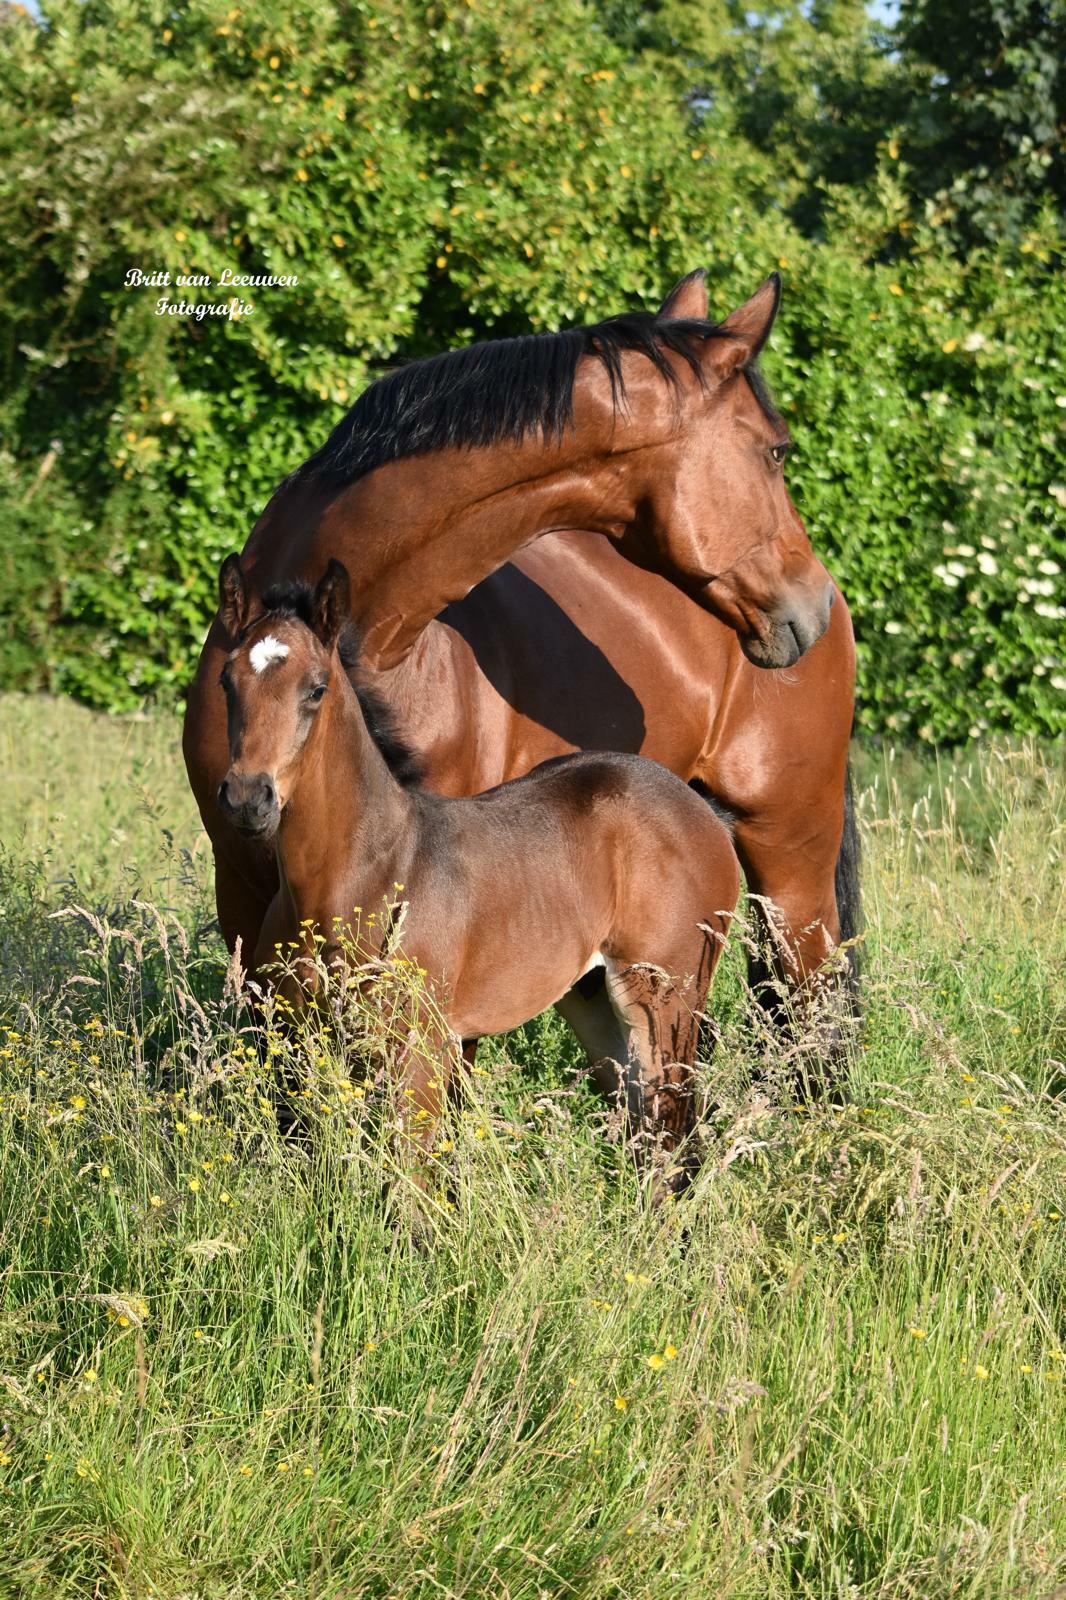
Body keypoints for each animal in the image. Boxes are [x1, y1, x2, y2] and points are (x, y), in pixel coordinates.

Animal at [217, 553, 739, 1190]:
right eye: (226, 683)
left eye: (316, 689)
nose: (248, 800)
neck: (361, 877)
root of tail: (705, 813)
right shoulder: (300, 1041)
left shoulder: (421, 1047)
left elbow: (409, 1180)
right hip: (593, 997)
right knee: (640, 1117)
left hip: (667, 997)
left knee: (670, 1125)